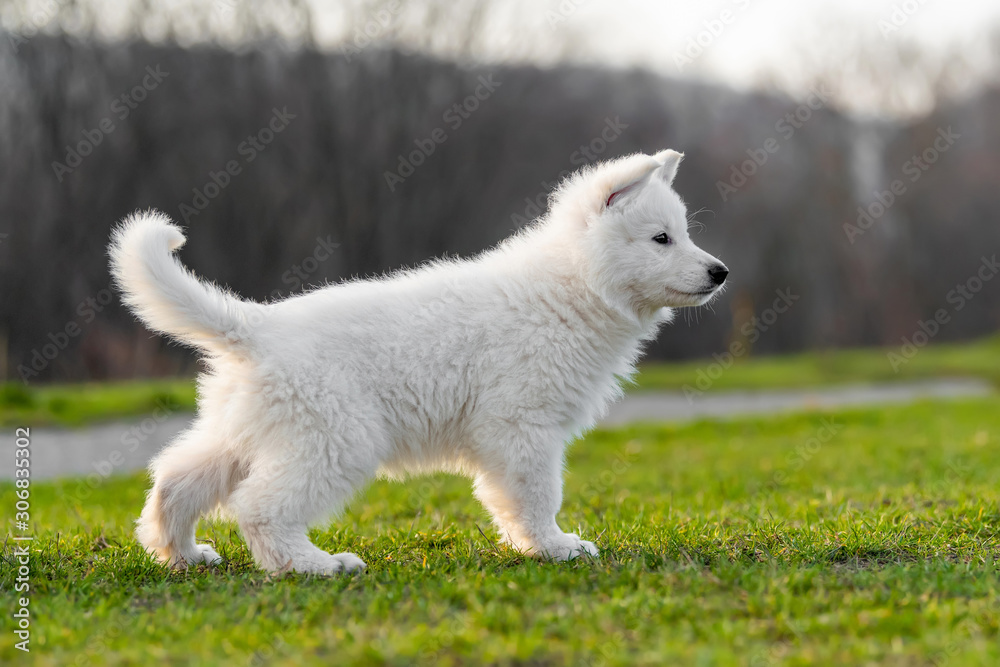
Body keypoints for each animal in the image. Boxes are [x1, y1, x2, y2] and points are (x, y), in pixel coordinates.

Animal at [109, 150, 728, 576]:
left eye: (683, 234)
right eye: (661, 238)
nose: (721, 272)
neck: (569, 288)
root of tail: (254, 326)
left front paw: (539, 545)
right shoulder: (522, 426)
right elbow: (536, 495)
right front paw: (554, 547)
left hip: (249, 432)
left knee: (176, 477)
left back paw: (182, 554)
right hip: (336, 437)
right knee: (261, 507)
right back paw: (316, 565)